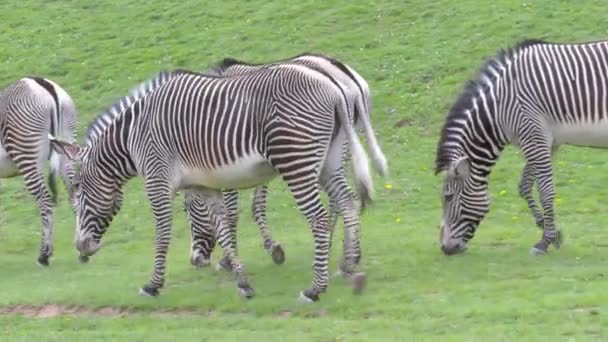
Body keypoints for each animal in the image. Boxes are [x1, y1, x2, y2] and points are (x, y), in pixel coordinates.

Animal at [0, 77, 78, 264]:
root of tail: (43, 85)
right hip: (67, 146)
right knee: (75, 196)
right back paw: (83, 251)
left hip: (27, 156)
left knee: (45, 202)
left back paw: (44, 255)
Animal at [51, 63, 376, 302]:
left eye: (77, 189)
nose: (80, 247)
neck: (132, 136)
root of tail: (335, 87)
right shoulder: (203, 187)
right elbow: (224, 229)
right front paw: (243, 282)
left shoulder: (157, 180)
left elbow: (162, 234)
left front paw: (153, 285)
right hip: (328, 161)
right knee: (348, 202)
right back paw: (347, 266)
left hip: (296, 162)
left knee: (319, 220)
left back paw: (315, 288)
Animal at [189, 54, 390, 276]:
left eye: (187, 208)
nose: (195, 261)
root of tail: (348, 76)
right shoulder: (257, 161)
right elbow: (257, 204)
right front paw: (273, 248)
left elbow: (232, 212)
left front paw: (229, 260)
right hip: (341, 147)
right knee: (343, 197)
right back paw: (348, 251)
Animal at [432, 38, 608, 255]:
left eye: (448, 197)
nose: (445, 249)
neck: (499, 109)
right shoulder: (543, 142)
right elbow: (524, 186)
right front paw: (551, 233)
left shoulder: (533, 138)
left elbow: (546, 191)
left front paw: (544, 242)